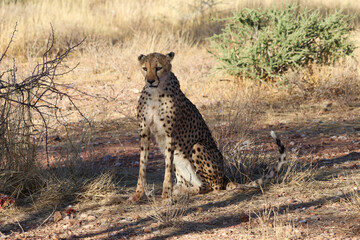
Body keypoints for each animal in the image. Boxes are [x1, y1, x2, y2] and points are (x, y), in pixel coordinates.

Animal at [129, 52, 286, 202]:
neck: (155, 93)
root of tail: (225, 177)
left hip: (198, 147)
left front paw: (166, 197)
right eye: (144, 68)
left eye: (158, 68)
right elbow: (142, 166)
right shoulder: (144, 131)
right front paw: (138, 195)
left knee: (213, 186)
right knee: (187, 182)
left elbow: (167, 171)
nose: (150, 81)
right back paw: (180, 189)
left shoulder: (170, 134)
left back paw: (184, 191)